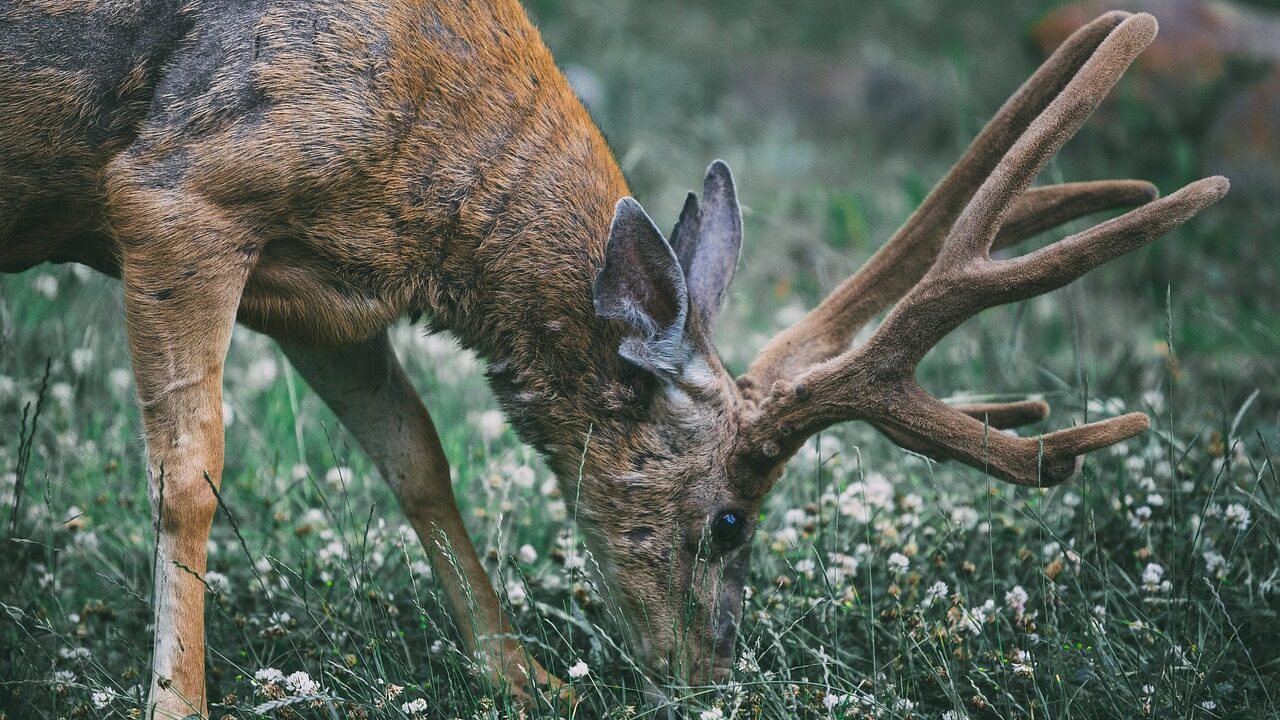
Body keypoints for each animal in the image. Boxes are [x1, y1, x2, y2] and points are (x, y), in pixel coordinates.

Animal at [0, 2, 1226, 717]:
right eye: (728, 521)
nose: (710, 676)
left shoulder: (322, 295)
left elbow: (417, 456)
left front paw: (524, 678)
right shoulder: (177, 190)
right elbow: (189, 477)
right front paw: (177, 703)